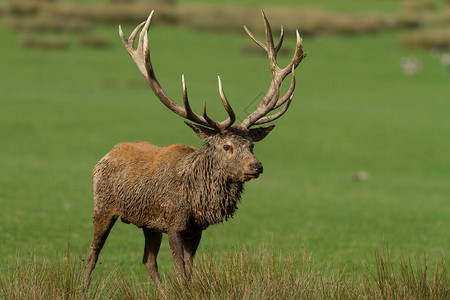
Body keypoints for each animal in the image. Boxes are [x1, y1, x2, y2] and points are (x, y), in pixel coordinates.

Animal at [84, 10, 306, 292]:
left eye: (252, 145)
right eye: (227, 146)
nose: (257, 166)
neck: (196, 199)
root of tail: (108, 154)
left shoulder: (196, 229)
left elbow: (190, 273)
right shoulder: (174, 223)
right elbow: (180, 272)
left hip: (148, 223)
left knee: (148, 260)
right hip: (102, 206)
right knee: (93, 252)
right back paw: (83, 288)